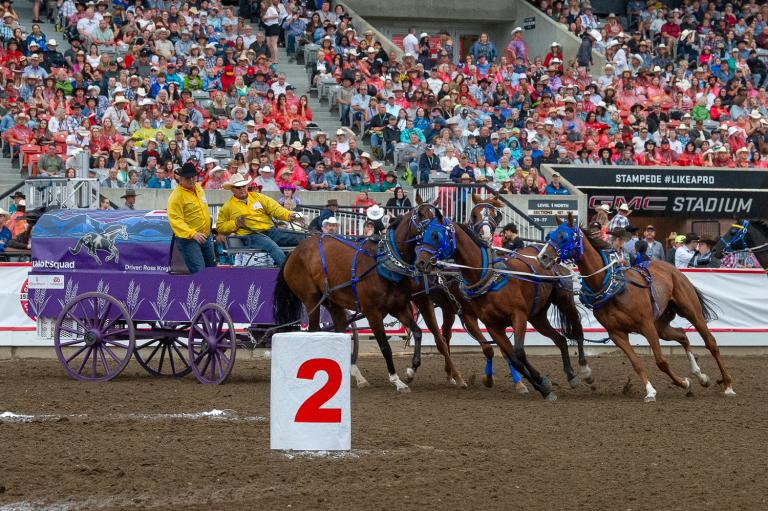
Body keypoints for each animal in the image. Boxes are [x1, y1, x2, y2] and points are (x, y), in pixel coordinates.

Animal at [276, 200, 468, 392]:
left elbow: (418, 332)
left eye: (437, 216)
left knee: (340, 330)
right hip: (311, 301)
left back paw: (356, 376)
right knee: (314, 331)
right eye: (421, 215)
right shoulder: (372, 313)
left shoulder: (398, 308)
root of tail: (294, 252)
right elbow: (385, 346)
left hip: (332, 302)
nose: (438, 233)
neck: (386, 263)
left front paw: (411, 371)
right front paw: (397, 380)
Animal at [416, 211, 584, 400]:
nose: (419, 262)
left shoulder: (518, 316)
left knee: (577, 330)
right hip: (538, 317)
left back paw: (584, 371)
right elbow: (512, 358)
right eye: (423, 234)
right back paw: (570, 375)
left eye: (435, 235)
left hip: (565, 301)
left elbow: (518, 352)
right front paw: (542, 387)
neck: (487, 276)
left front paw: (536, 382)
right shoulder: (492, 326)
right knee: (560, 339)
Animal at [536, 214, 736, 402]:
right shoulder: (617, 333)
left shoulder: (646, 325)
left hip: (690, 312)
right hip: (660, 325)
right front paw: (655, 389)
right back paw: (700, 375)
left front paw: (680, 382)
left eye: (562, 236)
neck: (613, 287)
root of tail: (672, 269)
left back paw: (727, 385)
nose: (541, 257)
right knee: (682, 335)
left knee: (711, 343)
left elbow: (661, 361)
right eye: (549, 236)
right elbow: (636, 363)